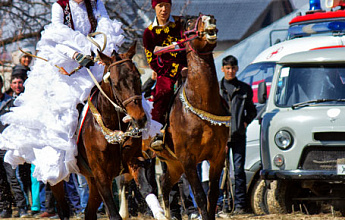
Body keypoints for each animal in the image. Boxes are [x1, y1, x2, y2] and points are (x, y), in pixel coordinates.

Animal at [50, 43, 167, 220]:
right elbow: (113, 213)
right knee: (63, 209)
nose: (139, 118)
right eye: (115, 83)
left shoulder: (133, 161)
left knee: (89, 212)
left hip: (91, 180)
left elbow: (146, 189)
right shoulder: (100, 174)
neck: (113, 127)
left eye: (137, 77)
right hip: (57, 177)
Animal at [155, 14, 230, 220]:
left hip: (173, 164)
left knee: (164, 183)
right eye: (189, 24)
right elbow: (200, 196)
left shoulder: (217, 156)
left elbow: (213, 195)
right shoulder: (188, 160)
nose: (210, 19)